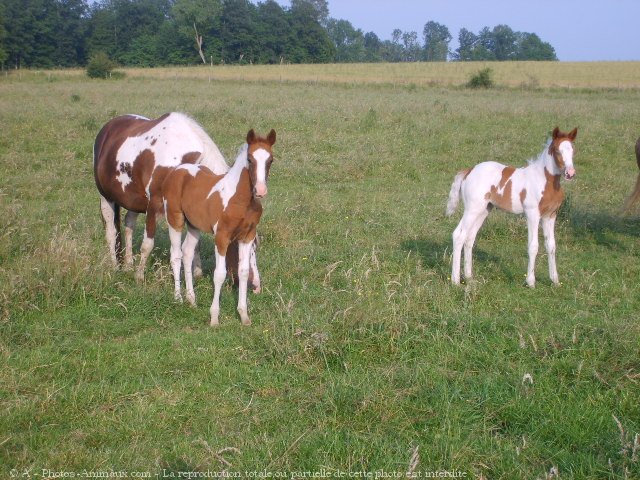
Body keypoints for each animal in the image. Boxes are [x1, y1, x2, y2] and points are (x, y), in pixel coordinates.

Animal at [92, 113, 260, 292]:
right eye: (239, 247)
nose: (256, 286)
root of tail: (108, 127)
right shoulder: (153, 206)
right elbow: (147, 244)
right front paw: (140, 276)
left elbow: (195, 244)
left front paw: (197, 273)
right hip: (106, 198)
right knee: (111, 232)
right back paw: (115, 267)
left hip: (133, 201)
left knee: (128, 225)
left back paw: (129, 264)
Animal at [151, 128, 276, 326]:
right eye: (250, 159)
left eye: (270, 160)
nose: (261, 191)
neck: (240, 200)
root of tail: (178, 170)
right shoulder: (222, 237)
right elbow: (219, 274)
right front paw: (214, 317)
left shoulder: (247, 236)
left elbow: (243, 271)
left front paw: (244, 315)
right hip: (175, 219)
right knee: (176, 255)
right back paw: (178, 298)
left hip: (194, 225)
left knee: (187, 252)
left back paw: (191, 299)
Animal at [444, 125, 580, 286]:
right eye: (558, 150)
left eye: (573, 150)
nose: (570, 173)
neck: (544, 180)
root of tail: (469, 171)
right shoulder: (532, 214)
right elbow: (533, 246)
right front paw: (531, 282)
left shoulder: (550, 215)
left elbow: (551, 245)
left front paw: (555, 280)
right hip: (472, 209)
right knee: (459, 235)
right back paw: (455, 281)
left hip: (483, 210)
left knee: (470, 238)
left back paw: (469, 277)